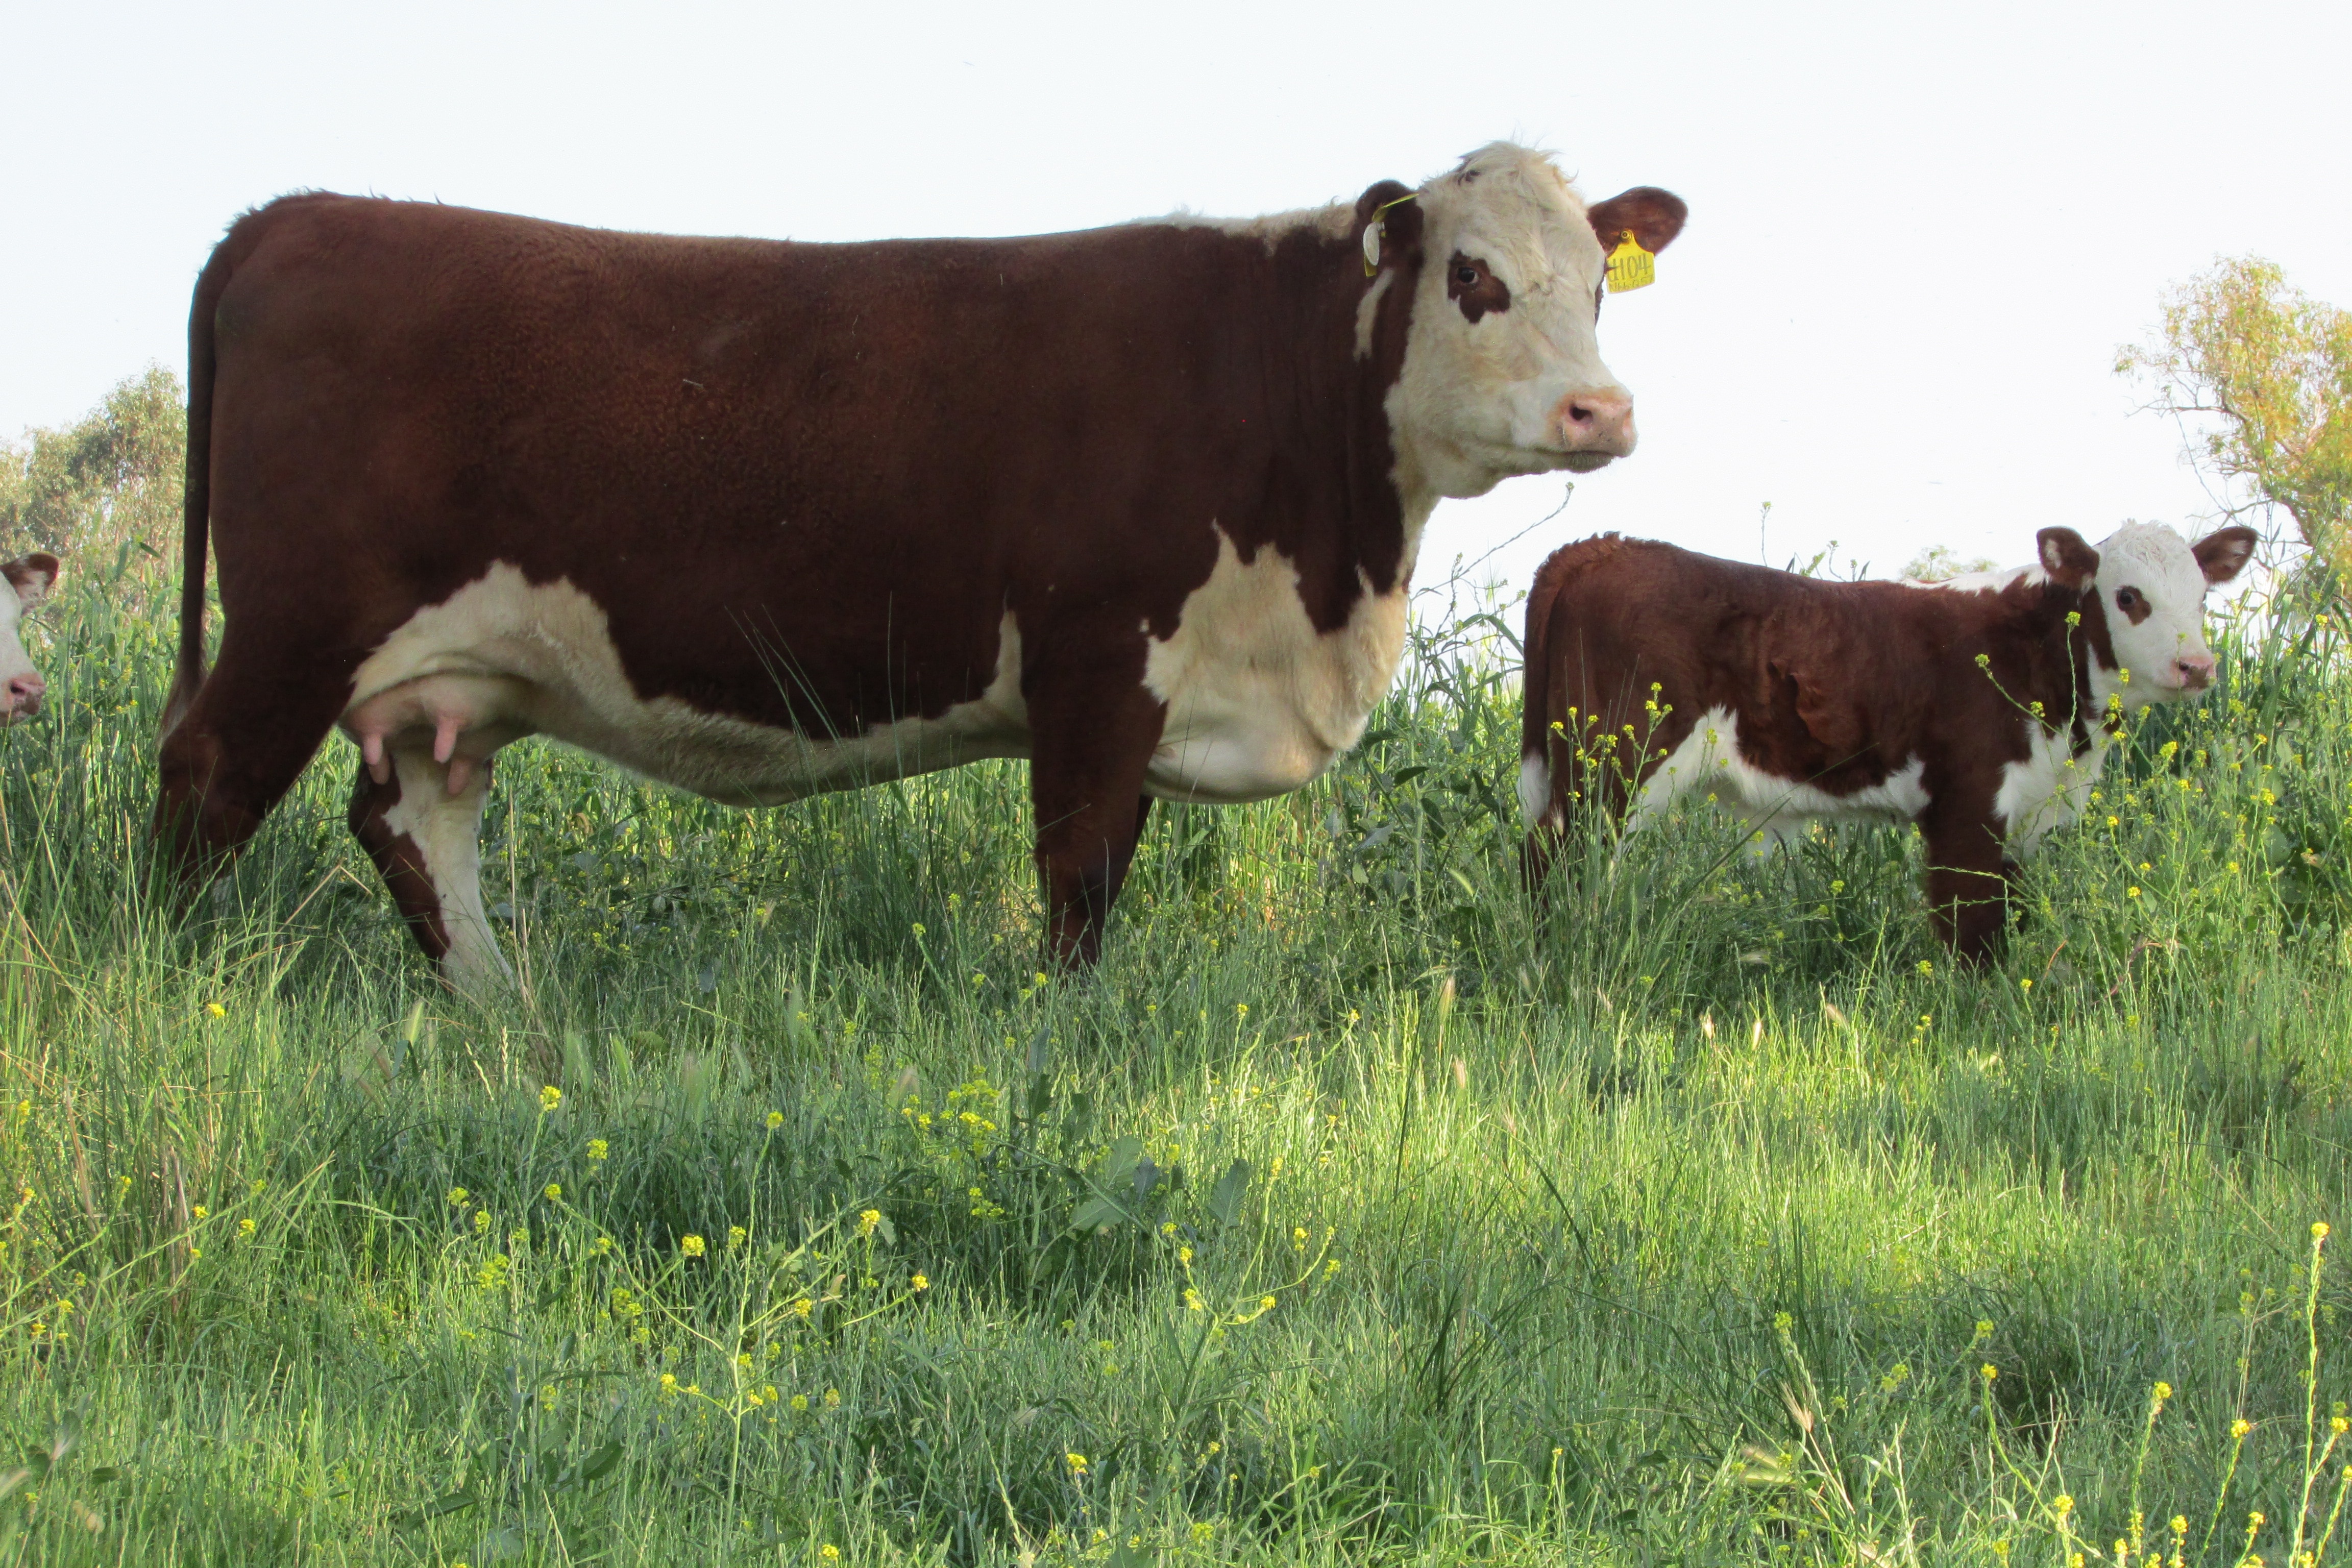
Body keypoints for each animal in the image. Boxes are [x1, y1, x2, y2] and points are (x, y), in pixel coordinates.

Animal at [154, 144, 1688, 987]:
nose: (1600, 412)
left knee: (415, 819)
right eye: (1475, 276)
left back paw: (509, 1017)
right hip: (294, 625)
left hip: (445, 675)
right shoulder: (1094, 662)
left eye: (1600, 286)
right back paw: (166, 981)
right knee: (206, 781)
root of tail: (294, 214)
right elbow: (1078, 880)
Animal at [1517, 522, 2258, 959]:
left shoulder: (2027, 811)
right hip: (1611, 768)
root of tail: (1601, 547)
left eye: (2204, 597)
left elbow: (2011, 909)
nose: (2198, 666)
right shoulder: (1965, 804)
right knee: (1559, 857)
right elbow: (1971, 921)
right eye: (2129, 596)